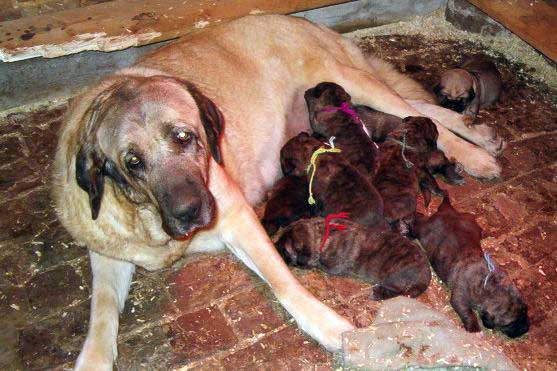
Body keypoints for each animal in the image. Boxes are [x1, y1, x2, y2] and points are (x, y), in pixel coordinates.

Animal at [276, 217, 428, 300]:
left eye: (285, 249)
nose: (275, 245)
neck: (321, 235)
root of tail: (425, 276)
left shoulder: (332, 266)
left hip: (392, 276)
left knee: (399, 292)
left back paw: (377, 293)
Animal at [412, 198, 528, 340]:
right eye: (510, 323)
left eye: (526, 311)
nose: (526, 329)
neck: (489, 285)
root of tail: (448, 210)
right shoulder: (460, 297)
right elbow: (468, 312)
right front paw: (474, 328)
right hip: (423, 229)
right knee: (419, 222)